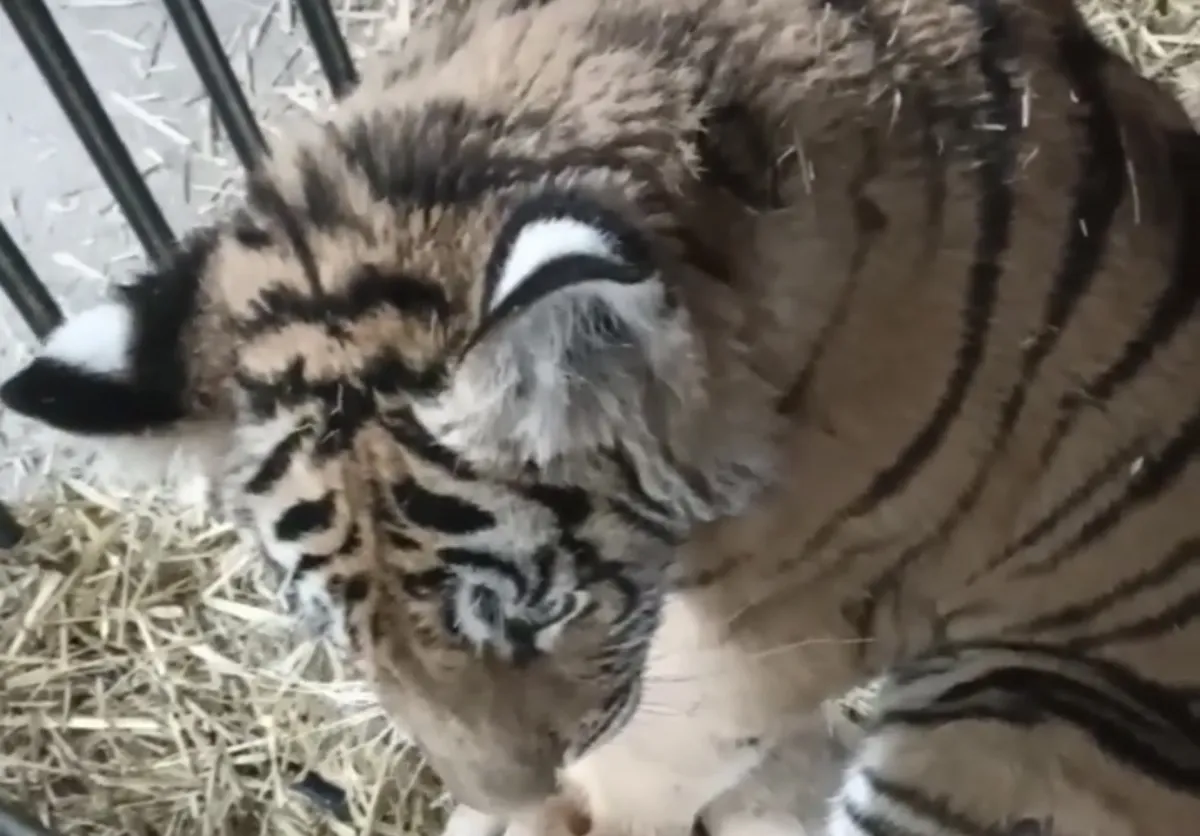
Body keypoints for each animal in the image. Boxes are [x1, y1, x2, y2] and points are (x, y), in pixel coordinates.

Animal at [5, 0, 1200, 833]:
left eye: (534, 617)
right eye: (346, 638)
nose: (510, 792)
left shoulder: (792, 617)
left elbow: (650, 753)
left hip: (1008, 725)